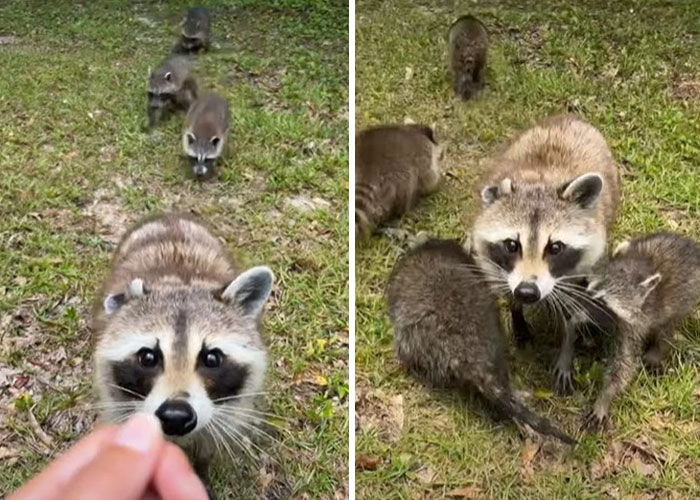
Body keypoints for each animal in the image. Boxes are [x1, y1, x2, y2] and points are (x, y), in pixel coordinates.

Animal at [92, 213, 274, 490]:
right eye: (148, 357)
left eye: (212, 358)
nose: (176, 416)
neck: (180, 282)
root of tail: (169, 216)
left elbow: (208, 445)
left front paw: (202, 470)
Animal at [471, 115, 620, 395]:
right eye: (511, 245)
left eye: (555, 248)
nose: (527, 292)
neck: (540, 182)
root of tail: (569, 117)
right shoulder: (498, 265)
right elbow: (508, 291)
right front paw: (517, 314)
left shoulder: (581, 266)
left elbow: (572, 312)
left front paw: (568, 348)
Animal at [583, 232, 700, 430]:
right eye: (593, 288)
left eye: (604, 302)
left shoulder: (633, 326)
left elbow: (623, 364)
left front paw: (605, 395)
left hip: (686, 299)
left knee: (667, 328)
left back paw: (657, 350)